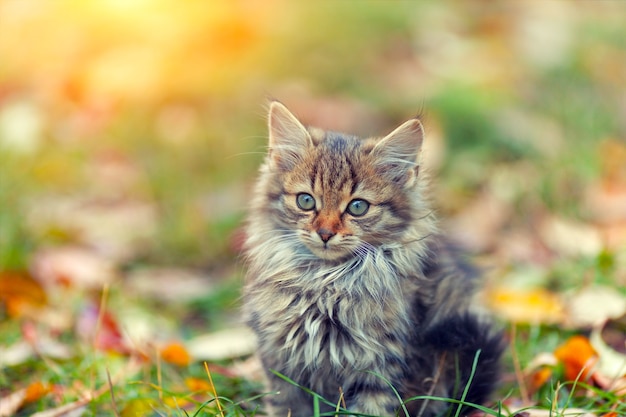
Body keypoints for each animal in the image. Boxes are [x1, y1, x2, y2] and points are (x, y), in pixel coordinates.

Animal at [241, 101, 500, 416]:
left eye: (358, 207)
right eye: (306, 201)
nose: (325, 233)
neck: (325, 282)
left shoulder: (382, 365)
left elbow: (372, 408)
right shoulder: (280, 360)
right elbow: (286, 405)